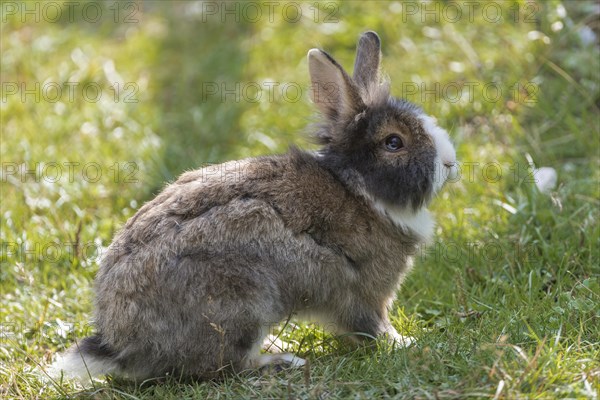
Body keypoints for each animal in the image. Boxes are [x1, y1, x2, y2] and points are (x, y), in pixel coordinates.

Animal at [51, 30, 458, 382]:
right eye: (394, 142)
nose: (451, 163)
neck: (358, 187)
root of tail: (119, 346)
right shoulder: (364, 292)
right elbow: (371, 325)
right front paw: (404, 343)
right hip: (244, 304)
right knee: (223, 366)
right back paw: (281, 360)